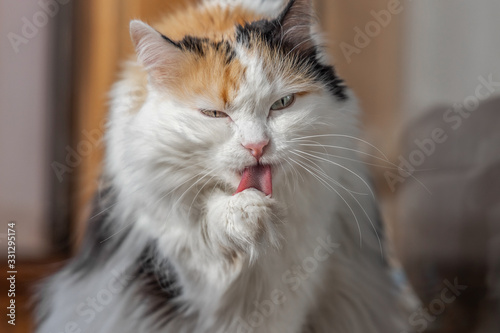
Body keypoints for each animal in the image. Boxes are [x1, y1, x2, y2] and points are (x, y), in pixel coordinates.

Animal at [37, 0, 408, 332]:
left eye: (282, 104)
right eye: (214, 114)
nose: (257, 146)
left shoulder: (295, 276)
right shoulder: (189, 267)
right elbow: (212, 228)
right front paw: (246, 213)